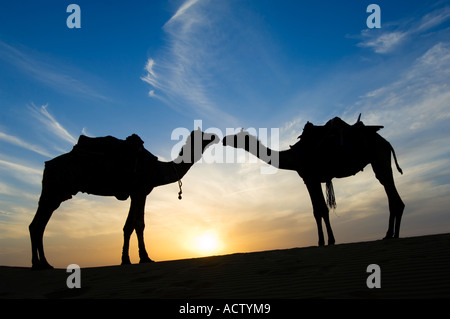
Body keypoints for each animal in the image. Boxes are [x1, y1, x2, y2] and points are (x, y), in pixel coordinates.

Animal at [29, 129, 219, 270]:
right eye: (203, 135)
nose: (216, 136)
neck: (159, 170)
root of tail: (48, 164)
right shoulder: (140, 191)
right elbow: (139, 224)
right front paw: (144, 258)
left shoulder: (135, 194)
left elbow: (128, 226)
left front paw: (126, 259)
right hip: (54, 190)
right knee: (37, 225)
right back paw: (38, 264)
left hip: (55, 194)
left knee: (38, 225)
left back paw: (44, 264)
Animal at [223, 115, 406, 248]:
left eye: (236, 137)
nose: (224, 139)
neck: (293, 157)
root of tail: (386, 142)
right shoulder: (311, 179)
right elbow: (319, 210)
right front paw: (326, 241)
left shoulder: (311, 178)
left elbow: (320, 210)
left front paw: (326, 241)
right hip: (379, 161)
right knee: (391, 193)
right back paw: (391, 235)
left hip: (379, 158)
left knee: (391, 192)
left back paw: (392, 234)